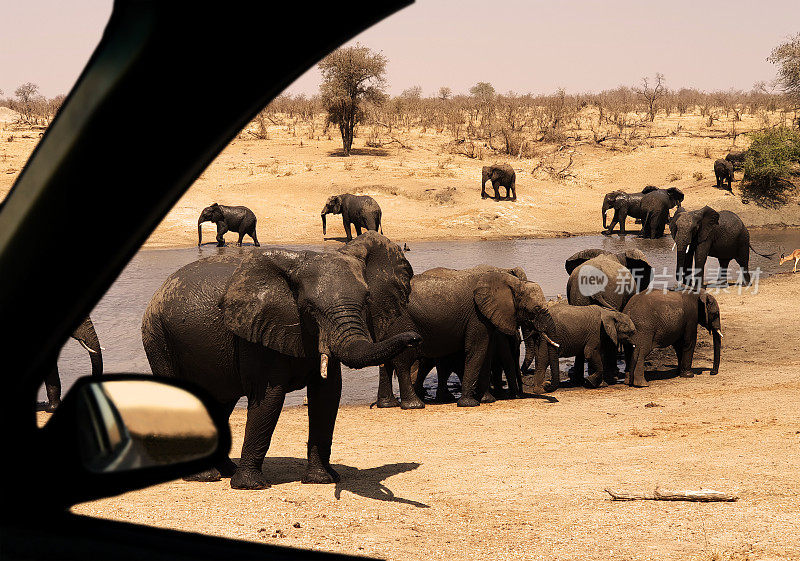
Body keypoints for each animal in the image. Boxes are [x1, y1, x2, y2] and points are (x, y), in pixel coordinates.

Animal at [141, 230, 422, 488]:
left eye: (367, 300)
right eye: (310, 308)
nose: (415, 338)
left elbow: (328, 394)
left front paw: (321, 480)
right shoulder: (256, 333)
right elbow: (269, 397)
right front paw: (251, 485)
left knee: (220, 402)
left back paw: (225, 470)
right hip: (158, 337)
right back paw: (204, 476)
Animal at [376, 266, 556, 406]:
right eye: (536, 310)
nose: (522, 394)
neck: (508, 279)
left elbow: (486, 352)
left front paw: (487, 399)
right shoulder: (477, 316)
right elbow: (477, 350)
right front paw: (470, 403)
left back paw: (389, 404)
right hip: (403, 323)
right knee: (404, 361)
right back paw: (415, 403)